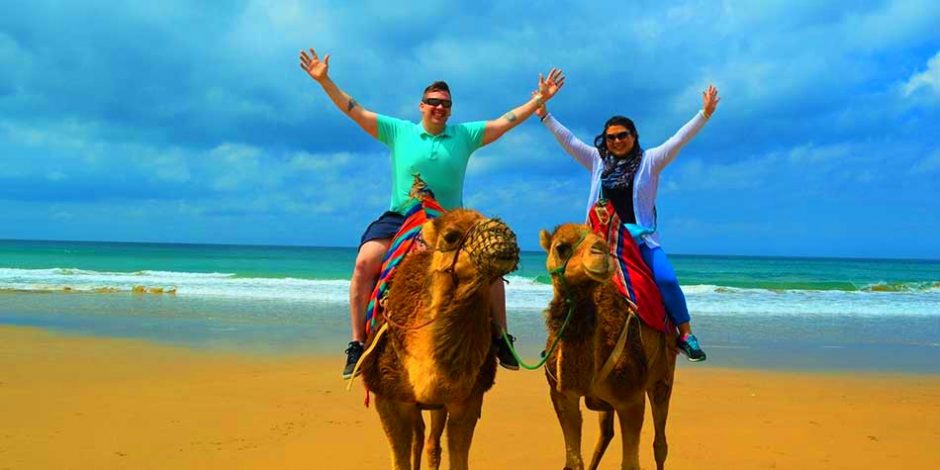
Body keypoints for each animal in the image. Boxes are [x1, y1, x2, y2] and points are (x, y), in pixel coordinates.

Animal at [360, 207, 520, 468]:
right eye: (451, 236)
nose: (502, 233)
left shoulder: (467, 399)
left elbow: (459, 458)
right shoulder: (387, 397)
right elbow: (399, 460)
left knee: (429, 441)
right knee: (418, 435)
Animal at [536, 224, 676, 470]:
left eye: (602, 240)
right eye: (561, 247)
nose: (601, 252)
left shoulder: (631, 398)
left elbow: (630, 463)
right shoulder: (562, 395)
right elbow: (573, 461)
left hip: (663, 376)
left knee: (660, 443)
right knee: (605, 433)